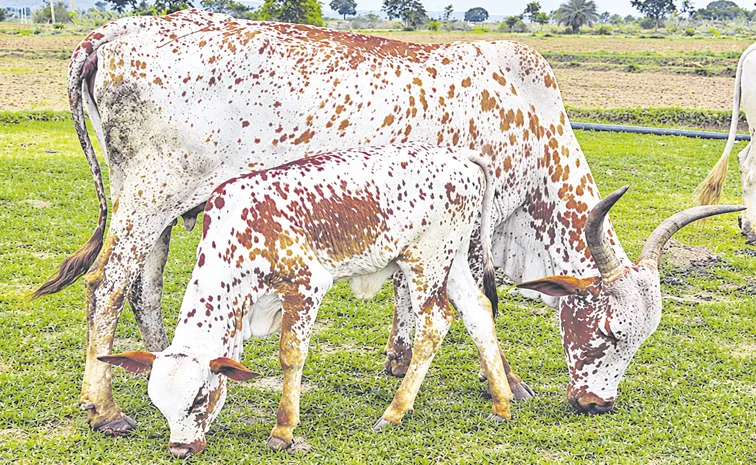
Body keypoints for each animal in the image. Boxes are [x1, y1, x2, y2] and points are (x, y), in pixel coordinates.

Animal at [99, 144, 514, 457]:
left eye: (200, 398)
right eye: (158, 403)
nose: (181, 449)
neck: (237, 233)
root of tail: (458, 155)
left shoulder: (306, 286)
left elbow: (290, 357)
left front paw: (283, 431)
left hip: (425, 260)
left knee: (435, 322)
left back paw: (395, 411)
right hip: (452, 258)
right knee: (478, 311)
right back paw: (502, 402)